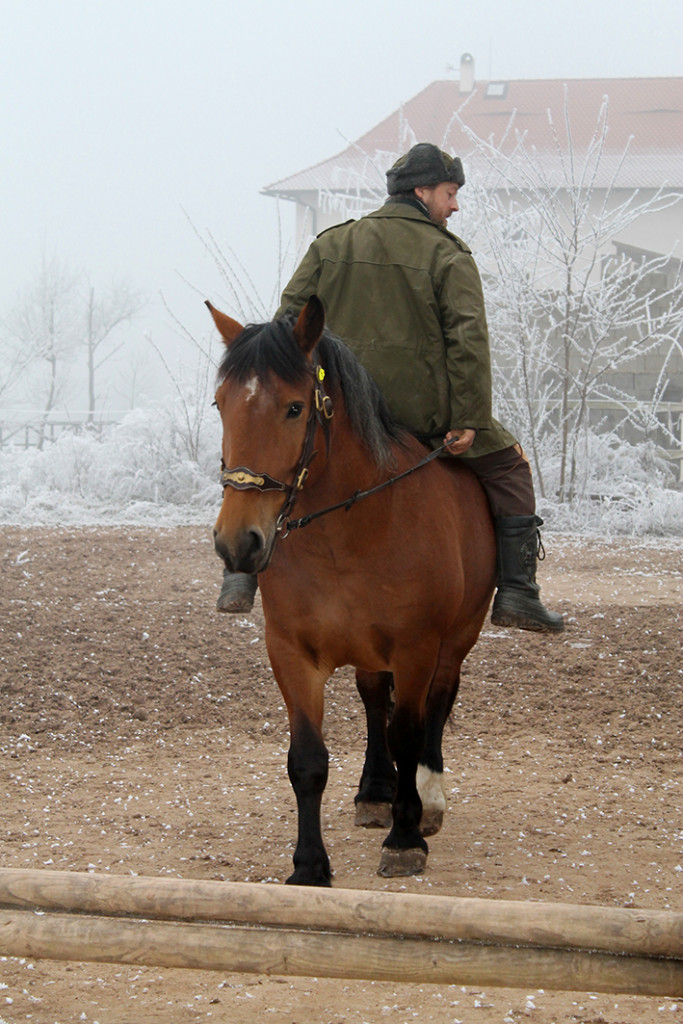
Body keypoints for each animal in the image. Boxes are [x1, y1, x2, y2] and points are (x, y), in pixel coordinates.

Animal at [205, 294, 493, 880]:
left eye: (295, 408)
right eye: (221, 405)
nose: (237, 542)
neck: (346, 536)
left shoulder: (416, 647)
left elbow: (408, 733)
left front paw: (405, 838)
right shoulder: (290, 652)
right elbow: (307, 759)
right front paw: (310, 864)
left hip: (457, 638)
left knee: (436, 706)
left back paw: (427, 797)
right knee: (373, 699)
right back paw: (376, 792)